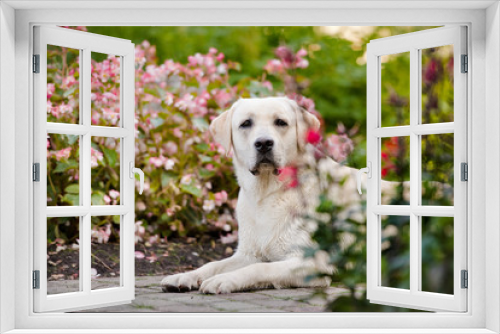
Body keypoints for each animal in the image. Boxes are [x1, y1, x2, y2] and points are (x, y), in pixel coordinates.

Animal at [160, 95, 360, 294]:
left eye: (281, 122)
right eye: (246, 123)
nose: (264, 143)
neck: (267, 192)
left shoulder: (313, 263)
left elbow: (260, 268)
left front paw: (224, 279)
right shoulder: (248, 253)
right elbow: (213, 265)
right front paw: (185, 276)